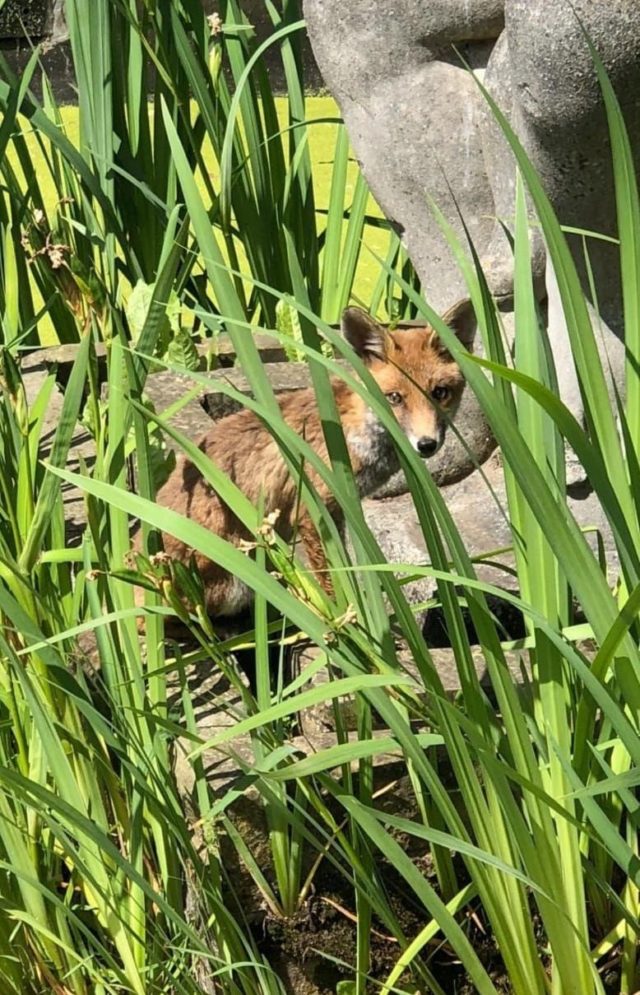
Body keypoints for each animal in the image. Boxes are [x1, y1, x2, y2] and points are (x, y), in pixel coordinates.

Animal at [136, 300, 476, 620]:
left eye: (440, 392)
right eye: (394, 398)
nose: (427, 444)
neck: (350, 430)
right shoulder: (315, 511)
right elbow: (332, 577)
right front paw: (348, 618)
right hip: (237, 575)